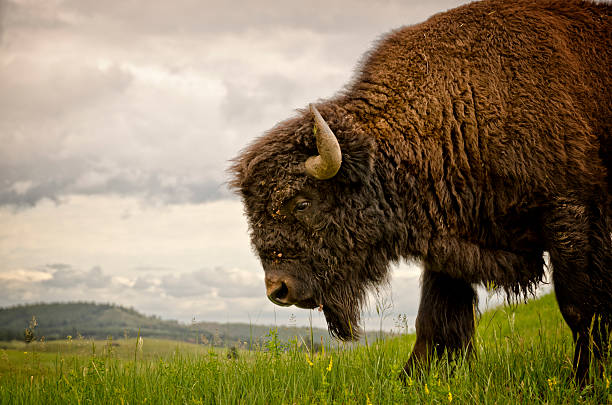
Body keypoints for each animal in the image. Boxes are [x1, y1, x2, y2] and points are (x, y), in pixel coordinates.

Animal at [231, 0, 612, 382]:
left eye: (301, 203)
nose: (278, 290)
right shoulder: (453, 241)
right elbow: (436, 319)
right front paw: (409, 379)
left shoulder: (570, 211)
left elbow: (578, 305)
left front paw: (586, 380)